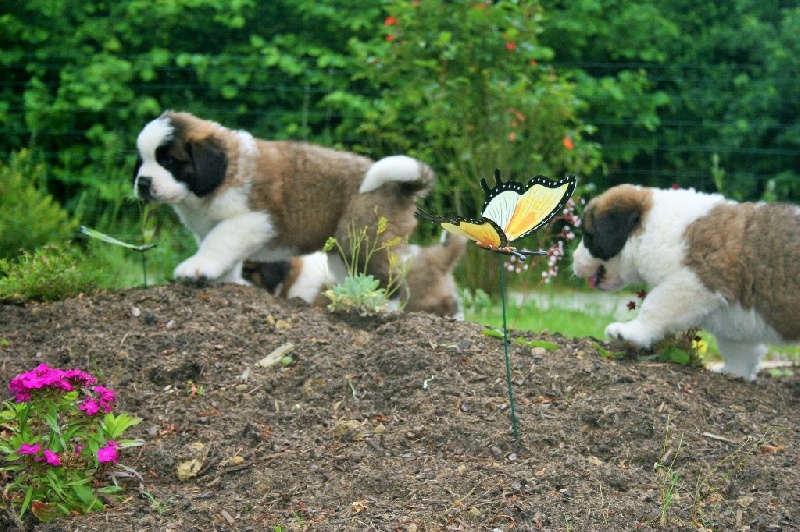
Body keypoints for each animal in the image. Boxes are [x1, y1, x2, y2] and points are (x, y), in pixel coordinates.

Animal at [572, 185, 796, 380]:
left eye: (588, 237)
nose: (573, 260)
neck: (653, 228)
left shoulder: (692, 283)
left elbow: (655, 306)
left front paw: (631, 332)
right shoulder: (734, 318)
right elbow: (737, 346)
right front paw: (735, 374)